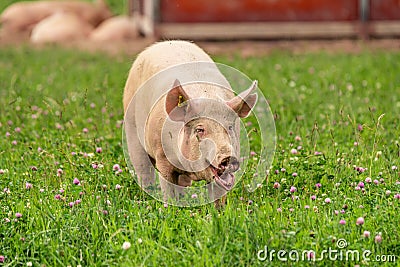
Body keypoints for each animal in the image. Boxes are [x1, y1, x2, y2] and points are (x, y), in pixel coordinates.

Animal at [123, 40, 258, 203]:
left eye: (230, 127)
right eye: (200, 129)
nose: (228, 157)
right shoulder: (162, 157)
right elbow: (167, 188)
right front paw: (169, 206)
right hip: (131, 127)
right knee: (143, 170)